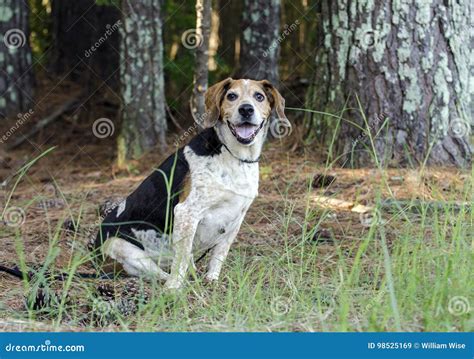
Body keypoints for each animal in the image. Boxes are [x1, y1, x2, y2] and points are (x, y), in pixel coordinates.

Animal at [95, 79, 288, 290]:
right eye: (232, 96)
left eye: (259, 96)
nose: (246, 109)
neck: (233, 155)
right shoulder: (186, 212)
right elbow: (181, 259)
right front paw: (173, 288)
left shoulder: (236, 219)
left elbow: (218, 255)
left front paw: (212, 279)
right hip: (120, 246)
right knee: (160, 271)